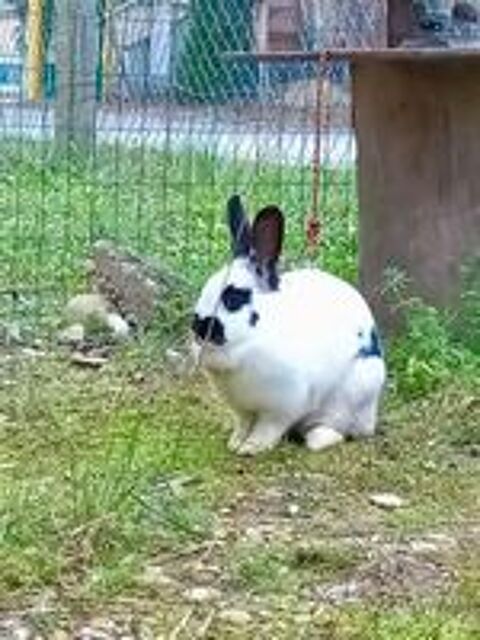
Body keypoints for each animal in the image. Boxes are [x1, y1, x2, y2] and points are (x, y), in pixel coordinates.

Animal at [191, 195, 386, 456]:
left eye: (234, 299)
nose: (198, 327)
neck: (243, 349)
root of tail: (371, 416)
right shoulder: (243, 410)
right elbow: (243, 424)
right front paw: (235, 443)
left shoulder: (282, 407)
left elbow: (268, 429)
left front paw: (251, 448)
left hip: (356, 392)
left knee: (340, 429)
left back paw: (317, 438)